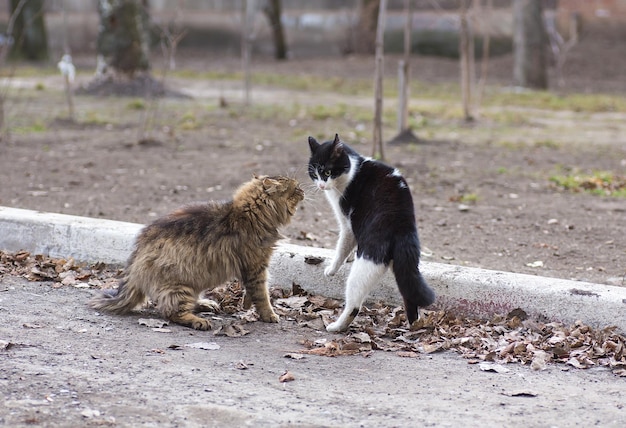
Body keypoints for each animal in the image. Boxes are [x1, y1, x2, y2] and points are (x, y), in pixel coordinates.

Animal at [88, 176, 302, 330]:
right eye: (295, 189)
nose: (303, 189)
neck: (248, 214)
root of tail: (135, 258)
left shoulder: (252, 268)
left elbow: (251, 293)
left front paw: (247, 306)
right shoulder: (256, 266)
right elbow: (262, 294)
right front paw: (269, 315)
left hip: (196, 280)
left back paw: (206, 304)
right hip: (179, 285)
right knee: (171, 312)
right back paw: (199, 321)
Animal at [308, 133, 434, 332]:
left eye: (327, 172)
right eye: (314, 173)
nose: (321, 185)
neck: (352, 169)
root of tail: (402, 224)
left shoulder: (347, 224)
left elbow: (342, 246)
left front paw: (332, 268)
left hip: (365, 263)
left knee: (354, 304)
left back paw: (336, 326)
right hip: (404, 265)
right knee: (409, 291)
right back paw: (415, 325)